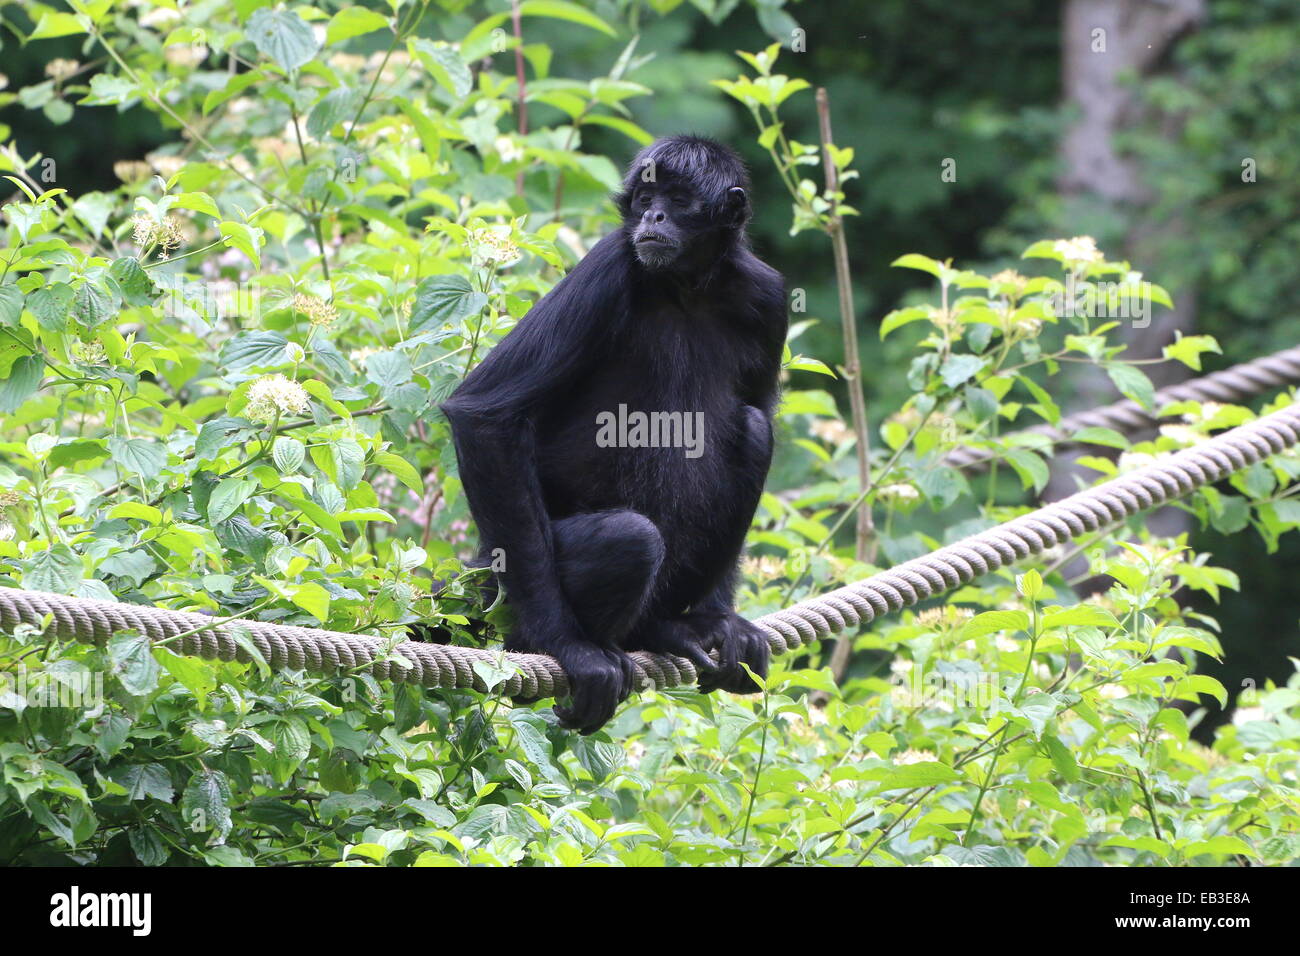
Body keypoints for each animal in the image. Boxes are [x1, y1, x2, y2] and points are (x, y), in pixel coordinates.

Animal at [439, 136, 780, 733]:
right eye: (645, 198)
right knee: (631, 537)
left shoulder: (768, 295)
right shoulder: (611, 264)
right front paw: (567, 648)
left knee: (755, 427)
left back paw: (667, 628)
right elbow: (484, 414)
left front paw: (721, 618)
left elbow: (760, 410)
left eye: (678, 200)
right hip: (498, 582)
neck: (686, 288)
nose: (653, 217)